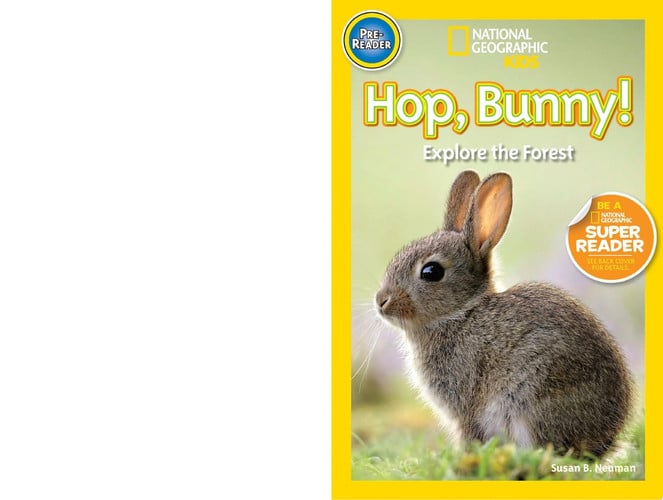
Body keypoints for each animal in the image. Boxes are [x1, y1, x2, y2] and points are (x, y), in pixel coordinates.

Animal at [375, 170, 633, 458]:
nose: (381, 301)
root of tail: (604, 441)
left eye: (431, 272)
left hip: (530, 400)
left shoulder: (466, 404)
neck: (460, 312)